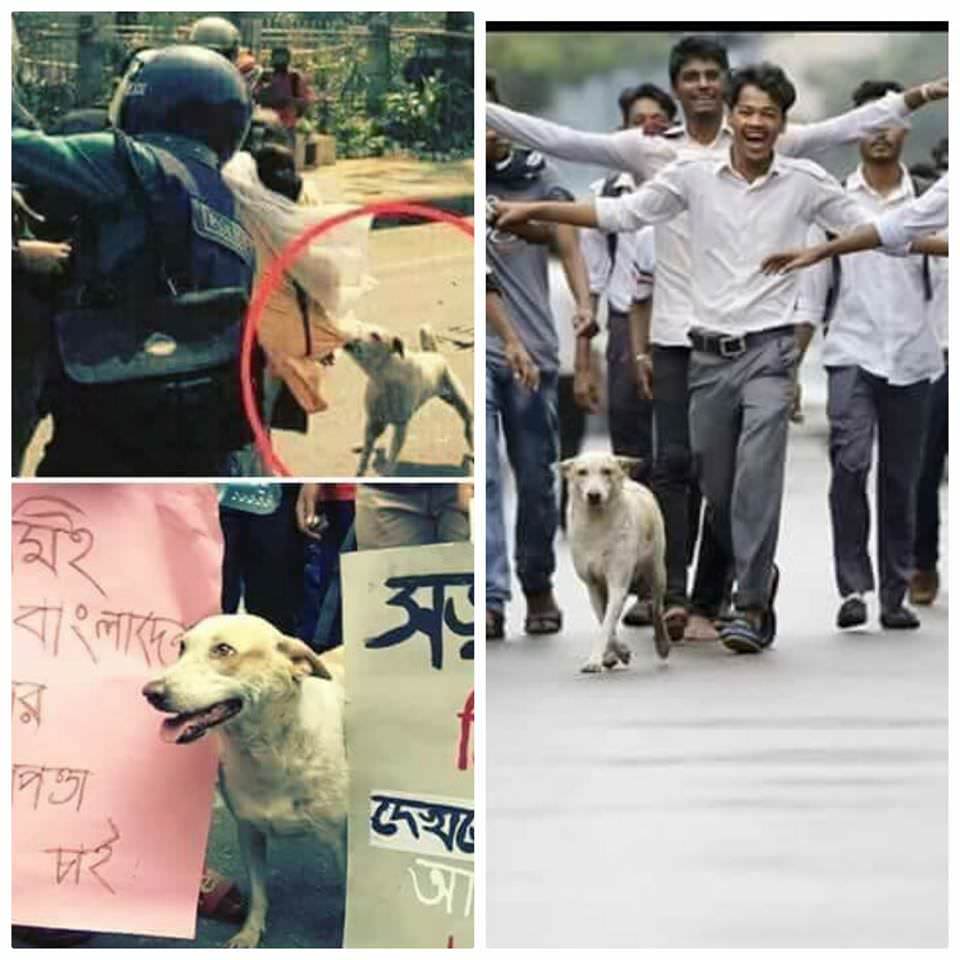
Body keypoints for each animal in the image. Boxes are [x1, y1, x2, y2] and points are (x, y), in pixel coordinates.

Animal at [142, 616, 348, 944]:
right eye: (182, 647)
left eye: (224, 650)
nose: (150, 692)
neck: (271, 752)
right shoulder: (249, 831)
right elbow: (259, 893)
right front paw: (250, 933)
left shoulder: (339, 840)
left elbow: (347, 892)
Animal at [344, 322, 474, 476]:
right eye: (357, 328)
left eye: (375, 335)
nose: (347, 339)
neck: (384, 377)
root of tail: (435, 354)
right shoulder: (374, 420)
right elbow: (366, 453)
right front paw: (360, 469)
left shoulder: (401, 425)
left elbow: (392, 454)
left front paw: (387, 471)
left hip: (461, 404)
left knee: (468, 425)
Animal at [560, 452, 672, 672]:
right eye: (582, 472)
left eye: (607, 471)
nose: (593, 495)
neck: (596, 525)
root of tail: (632, 482)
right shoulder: (593, 586)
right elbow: (605, 621)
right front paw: (616, 653)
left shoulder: (618, 582)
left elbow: (606, 625)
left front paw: (594, 660)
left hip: (656, 572)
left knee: (656, 609)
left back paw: (662, 644)